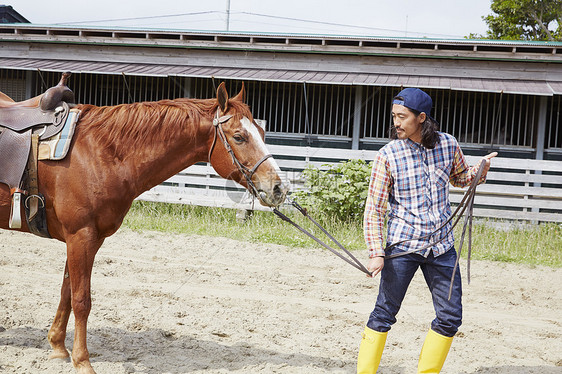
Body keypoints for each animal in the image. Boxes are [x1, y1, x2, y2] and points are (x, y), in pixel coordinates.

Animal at [0, 82, 286, 374]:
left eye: (262, 132)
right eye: (239, 137)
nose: (278, 187)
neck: (98, 153)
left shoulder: (85, 239)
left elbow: (67, 292)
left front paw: (58, 348)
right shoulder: (81, 236)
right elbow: (81, 300)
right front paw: (83, 361)